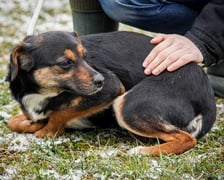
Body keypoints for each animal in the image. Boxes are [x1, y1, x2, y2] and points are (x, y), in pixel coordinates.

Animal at [6, 30, 216, 155]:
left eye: (85, 57)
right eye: (65, 63)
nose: (100, 80)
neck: (42, 93)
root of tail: (207, 96)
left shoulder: (111, 88)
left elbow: (60, 113)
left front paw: (46, 131)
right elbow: (13, 121)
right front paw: (33, 123)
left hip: (128, 105)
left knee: (187, 138)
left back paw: (143, 152)